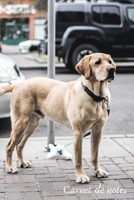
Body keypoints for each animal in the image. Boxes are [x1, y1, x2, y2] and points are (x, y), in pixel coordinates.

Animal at [0, 52, 115, 183]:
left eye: (110, 62)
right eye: (97, 62)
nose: (112, 69)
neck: (95, 96)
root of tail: (18, 84)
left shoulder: (97, 131)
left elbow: (95, 155)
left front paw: (98, 171)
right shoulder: (78, 132)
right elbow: (78, 158)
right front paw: (80, 175)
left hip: (32, 124)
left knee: (19, 145)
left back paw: (23, 163)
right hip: (21, 122)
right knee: (9, 145)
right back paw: (10, 167)